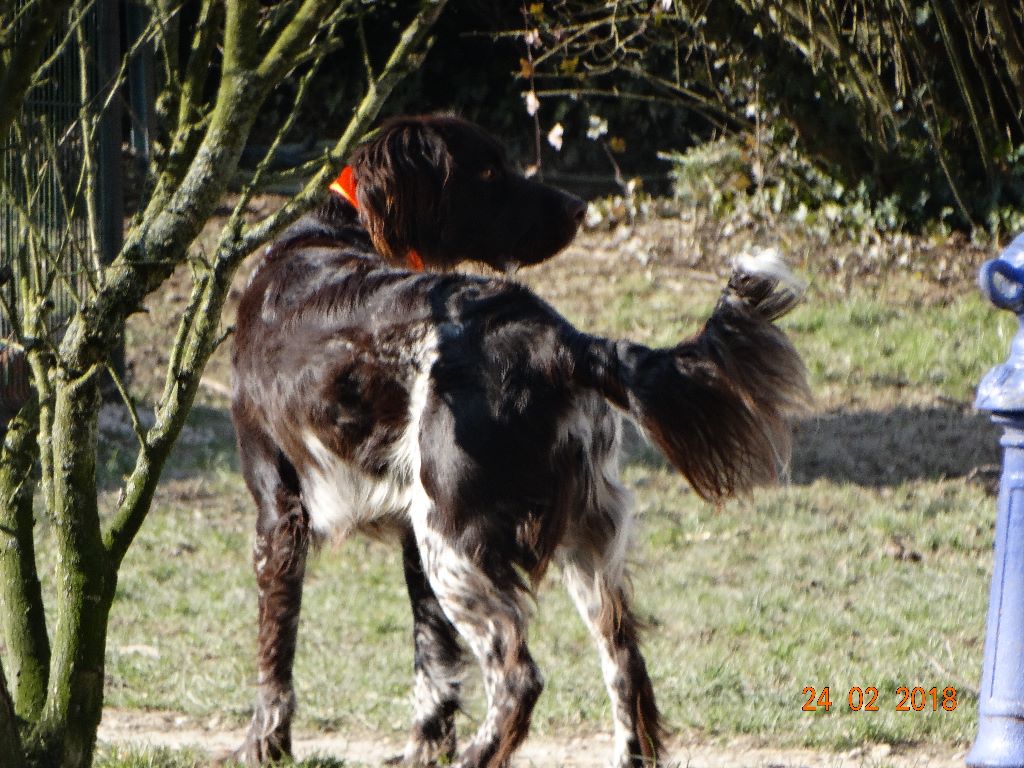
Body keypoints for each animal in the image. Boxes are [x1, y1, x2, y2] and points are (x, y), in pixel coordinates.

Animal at [230, 114, 806, 768]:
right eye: (487, 170)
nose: (579, 207)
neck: (339, 228)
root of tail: (563, 343)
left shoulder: (280, 512)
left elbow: (275, 657)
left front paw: (265, 746)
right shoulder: (409, 535)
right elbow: (433, 670)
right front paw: (424, 751)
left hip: (456, 540)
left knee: (518, 677)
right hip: (577, 539)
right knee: (626, 664)